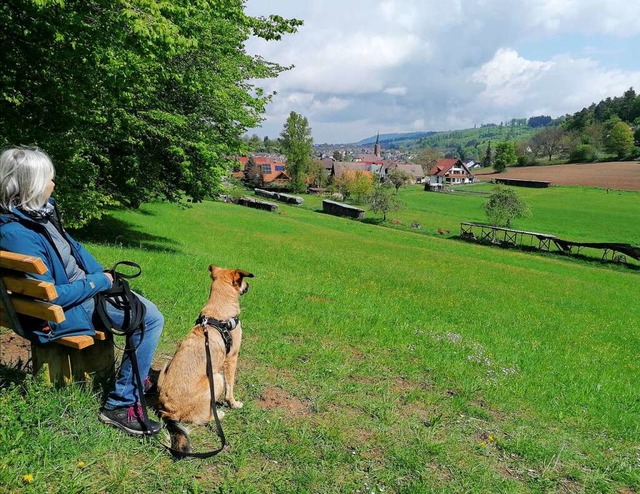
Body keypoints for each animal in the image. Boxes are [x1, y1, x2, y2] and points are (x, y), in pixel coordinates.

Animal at [156, 266, 254, 452]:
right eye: (242, 281)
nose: (248, 286)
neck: (218, 313)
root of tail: (169, 412)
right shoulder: (232, 358)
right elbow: (231, 387)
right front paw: (233, 403)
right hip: (216, 378)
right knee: (202, 419)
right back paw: (219, 414)